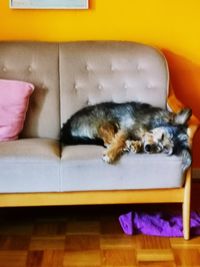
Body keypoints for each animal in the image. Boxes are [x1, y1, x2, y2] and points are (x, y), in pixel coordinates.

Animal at [60, 101, 191, 171]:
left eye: (164, 149)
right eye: (162, 136)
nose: (148, 148)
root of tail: (66, 126)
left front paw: (135, 145)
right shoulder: (127, 128)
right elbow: (120, 140)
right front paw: (110, 154)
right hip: (104, 121)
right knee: (108, 138)